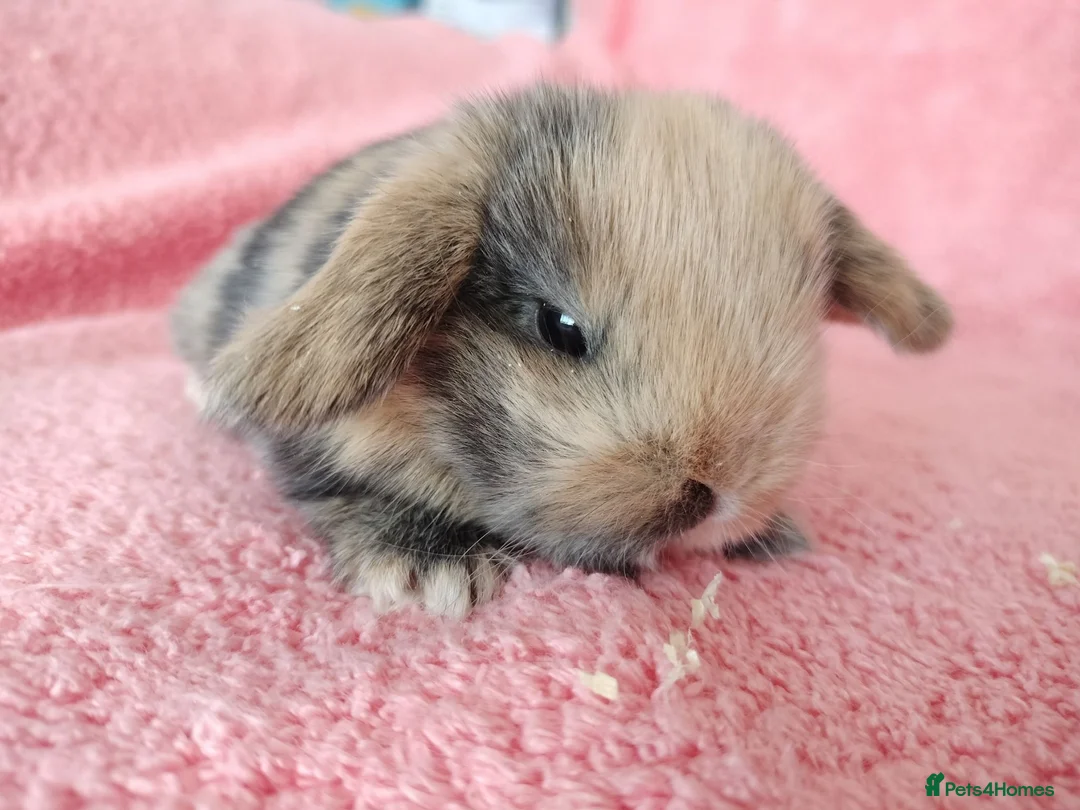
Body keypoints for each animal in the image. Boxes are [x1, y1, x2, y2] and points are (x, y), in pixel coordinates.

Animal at [171, 83, 953, 618]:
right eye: (559, 326)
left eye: (799, 325)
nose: (711, 495)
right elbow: (338, 491)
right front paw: (435, 574)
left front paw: (780, 535)